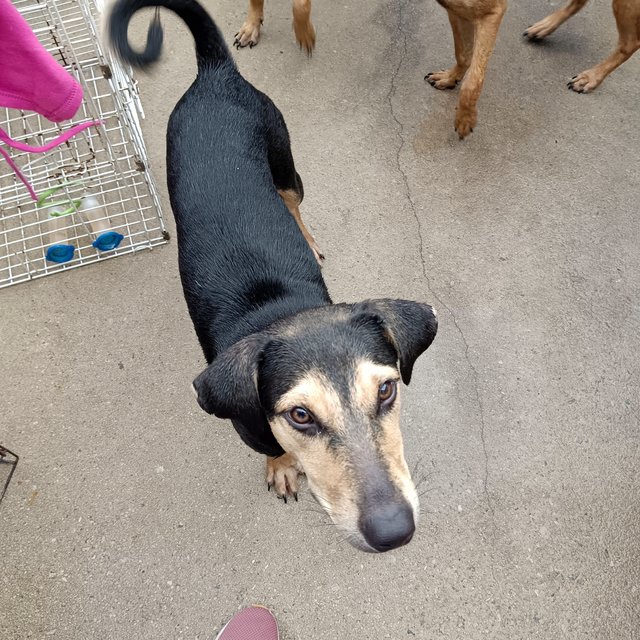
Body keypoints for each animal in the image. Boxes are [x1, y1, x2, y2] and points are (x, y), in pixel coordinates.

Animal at [111, 0, 440, 552]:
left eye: (387, 391)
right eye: (300, 416)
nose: (393, 532)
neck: (282, 308)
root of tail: (215, 74)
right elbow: (271, 448)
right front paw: (282, 464)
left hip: (285, 162)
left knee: (292, 201)